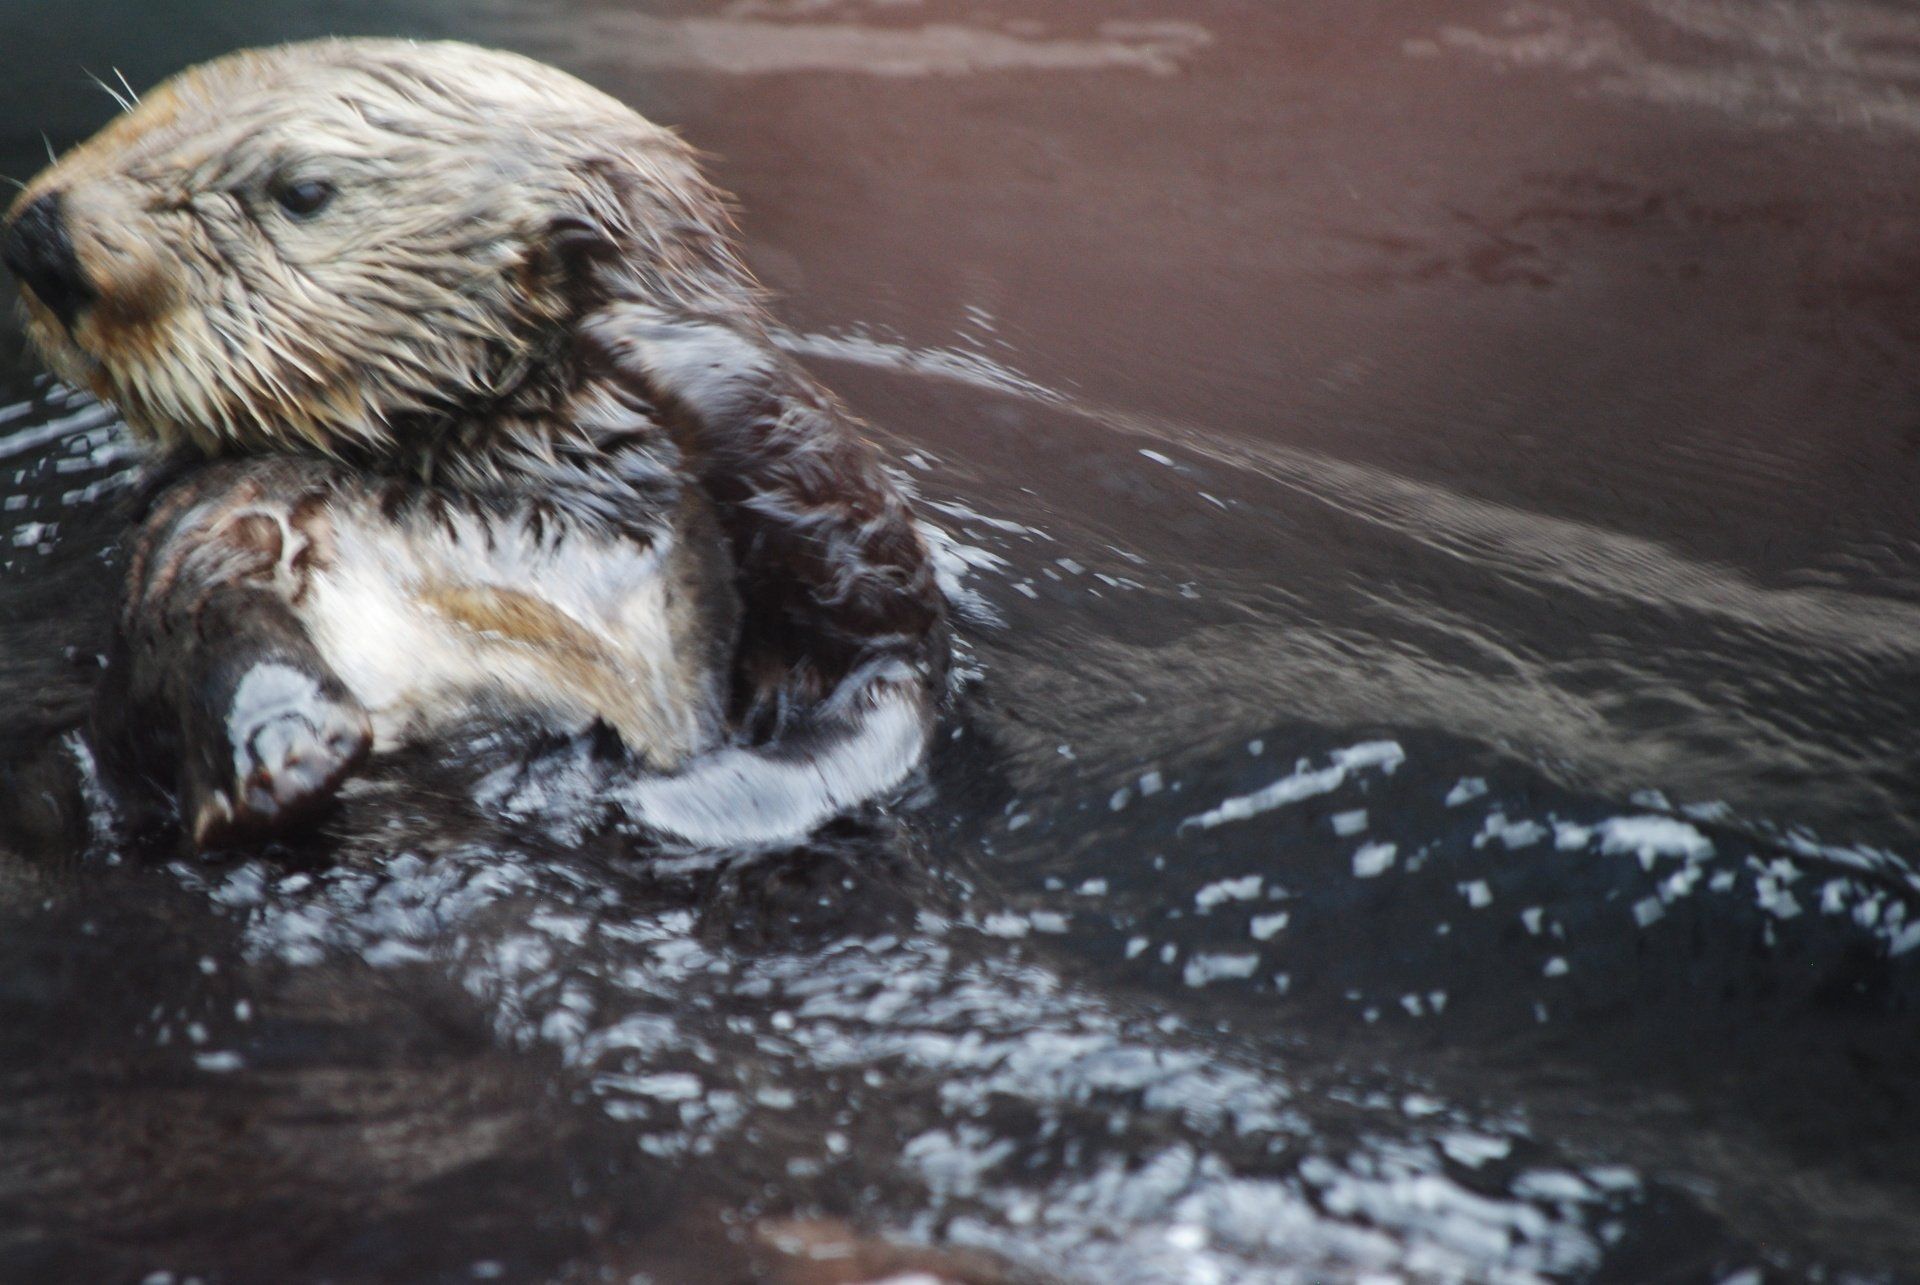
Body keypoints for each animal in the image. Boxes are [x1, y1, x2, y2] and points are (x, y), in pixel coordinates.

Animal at [0, 40, 948, 851]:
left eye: (303, 192)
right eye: (137, 115)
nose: (42, 238)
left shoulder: (840, 636)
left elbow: (876, 610)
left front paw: (650, 334)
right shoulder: (202, 530)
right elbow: (176, 644)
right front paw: (281, 747)